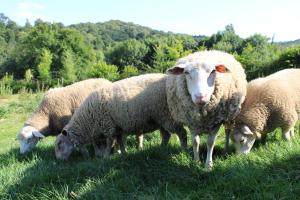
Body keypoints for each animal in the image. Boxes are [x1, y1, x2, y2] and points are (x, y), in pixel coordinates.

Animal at [54, 73, 188, 159]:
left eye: (59, 144)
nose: (58, 160)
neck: (88, 120)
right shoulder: (117, 128)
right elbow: (120, 141)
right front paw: (123, 153)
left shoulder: (108, 127)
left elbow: (109, 143)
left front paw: (106, 156)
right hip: (160, 119)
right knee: (166, 135)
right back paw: (161, 148)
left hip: (168, 116)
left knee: (182, 133)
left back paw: (184, 149)